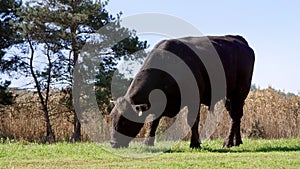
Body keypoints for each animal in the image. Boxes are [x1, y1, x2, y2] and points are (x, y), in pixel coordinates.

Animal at [109, 35, 254, 148]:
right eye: (111, 118)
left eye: (124, 121)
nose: (113, 143)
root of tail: (238, 40)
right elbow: (153, 123)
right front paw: (147, 143)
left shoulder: (194, 100)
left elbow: (192, 121)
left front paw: (195, 143)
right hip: (229, 98)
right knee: (237, 117)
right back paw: (237, 141)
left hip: (239, 94)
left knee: (235, 117)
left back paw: (228, 142)